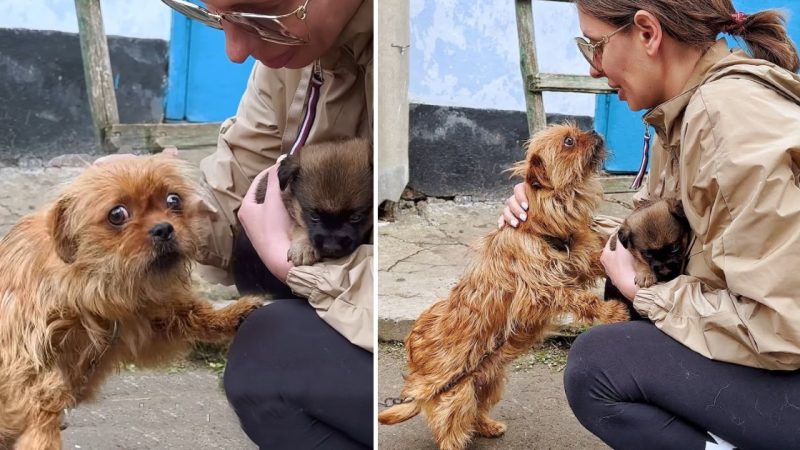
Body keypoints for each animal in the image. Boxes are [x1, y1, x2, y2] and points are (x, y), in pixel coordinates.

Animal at [0, 156, 260, 448]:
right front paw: (43, 438)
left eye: (173, 200)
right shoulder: (25, 356)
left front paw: (230, 314)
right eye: (117, 214)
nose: (164, 228)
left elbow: (188, 311)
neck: (87, 284)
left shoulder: (143, 320)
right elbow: (43, 400)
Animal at [380, 124, 632, 450]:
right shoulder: (542, 291)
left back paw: (487, 425)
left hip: (489, 379)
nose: (593, 130)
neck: (538, 228)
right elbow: (580, 299)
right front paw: (612, 311)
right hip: (456, 393)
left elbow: (595, 261)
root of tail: (416, 364)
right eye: (569, 141)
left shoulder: (574, 261)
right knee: (451, 427)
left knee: (476, 411)